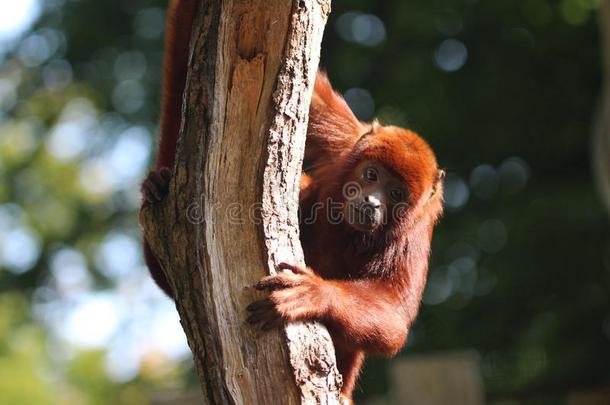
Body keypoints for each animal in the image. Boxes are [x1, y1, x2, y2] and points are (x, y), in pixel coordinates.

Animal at [142, 1, 442, 402]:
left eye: (396, 194)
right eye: (371, 175)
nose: (372, 202)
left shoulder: (415, 237)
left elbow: (394, 315)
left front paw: (314, 293)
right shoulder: (344, 140)